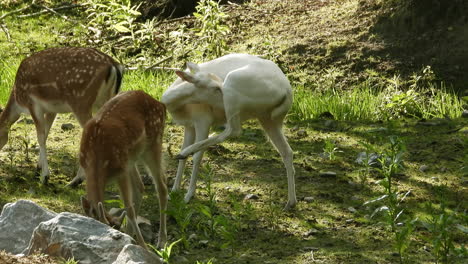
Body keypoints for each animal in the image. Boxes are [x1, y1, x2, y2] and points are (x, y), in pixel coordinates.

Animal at [0, 47, 123, 184]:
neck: (17, 100)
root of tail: (114, 65)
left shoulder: (33, 104)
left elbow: (40, 136)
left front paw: (45, 176)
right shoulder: (51, 109)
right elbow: (45, 134)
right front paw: (38, 168)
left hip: (81, 100)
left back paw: (76, 180)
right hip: (105, 100)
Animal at [79, 89, 167, 249]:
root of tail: (161, 104)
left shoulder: (121, 170)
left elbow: (129, 209)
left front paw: (144, 246)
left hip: (153, 143)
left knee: (161, 186)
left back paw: (161, 241)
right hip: (131, 157)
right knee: (140, 187)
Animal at [161, 53, 296, 209]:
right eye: (215, 88)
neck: (180, 107)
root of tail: (287, 91)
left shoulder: (203, 119)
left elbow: (197, 157)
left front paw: (188, 196)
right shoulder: (189, 125)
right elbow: (183, 156)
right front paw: (174, 191)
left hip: (234, 90)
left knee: (234, 130)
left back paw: (188, 151)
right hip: (268, 117)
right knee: (287, 151)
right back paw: (290, 203)